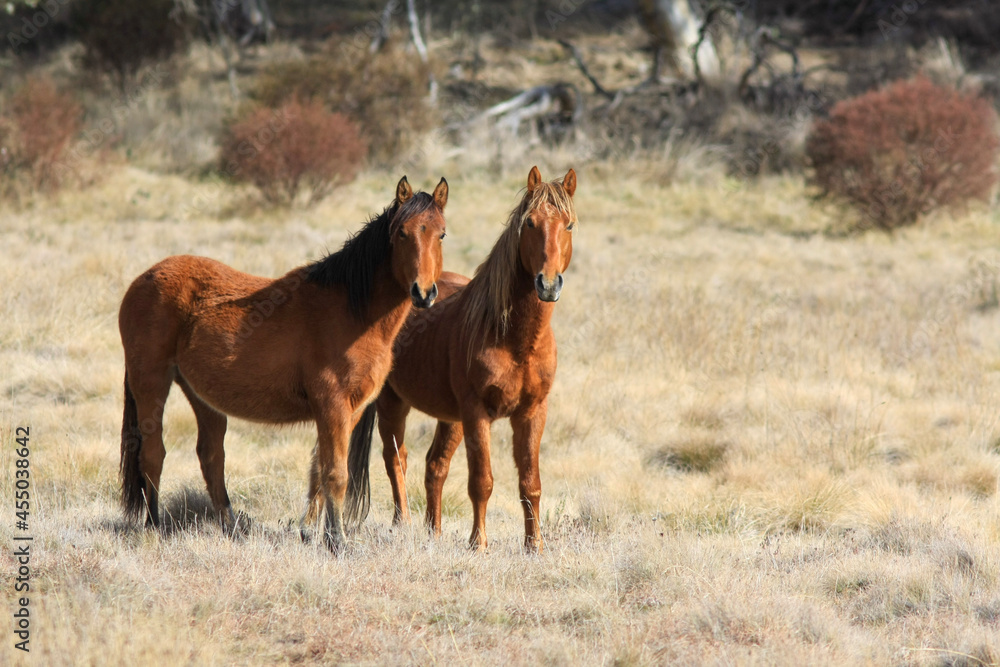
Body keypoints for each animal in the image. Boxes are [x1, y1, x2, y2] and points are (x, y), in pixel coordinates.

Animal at [118, 176, 448, 551]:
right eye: (402, 234)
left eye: (441, 234)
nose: (423, 293)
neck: (353, 311)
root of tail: (144, 278)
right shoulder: (332, 405)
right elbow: (336, 473)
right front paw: (337, 542)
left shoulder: (350, 410)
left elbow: (320, 469)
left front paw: (311, 531)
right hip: (151, 383)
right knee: (153, 454)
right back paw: (153, 526)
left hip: (201, 395)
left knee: (211, 456)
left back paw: (232, 527)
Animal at [345, 166, 576, 552]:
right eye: (529, 223)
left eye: (569, 225)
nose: (547, 284)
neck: (514, 338)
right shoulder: (476, 413)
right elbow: (481, 481)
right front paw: (478, 544)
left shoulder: (532, 412)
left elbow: (531, 484)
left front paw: (535, 546)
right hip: (394, 403)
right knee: (396, 459)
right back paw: (403, 524)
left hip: (449, 419)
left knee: (434, 466)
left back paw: (433, 532)